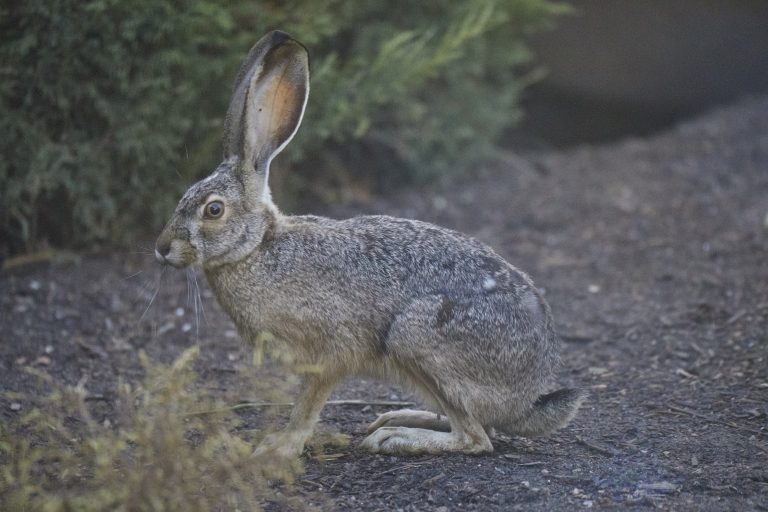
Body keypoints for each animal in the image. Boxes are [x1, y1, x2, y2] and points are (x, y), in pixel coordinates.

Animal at [155, 30, 584, 457]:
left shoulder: (330, 352)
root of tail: (526, 399)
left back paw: (395, 437)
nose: (162, 248)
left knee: (476, 437)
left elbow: (307, 405)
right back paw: (399, 418)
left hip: (415, 335)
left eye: (213, 210)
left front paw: (279, 447)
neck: (258, 248)